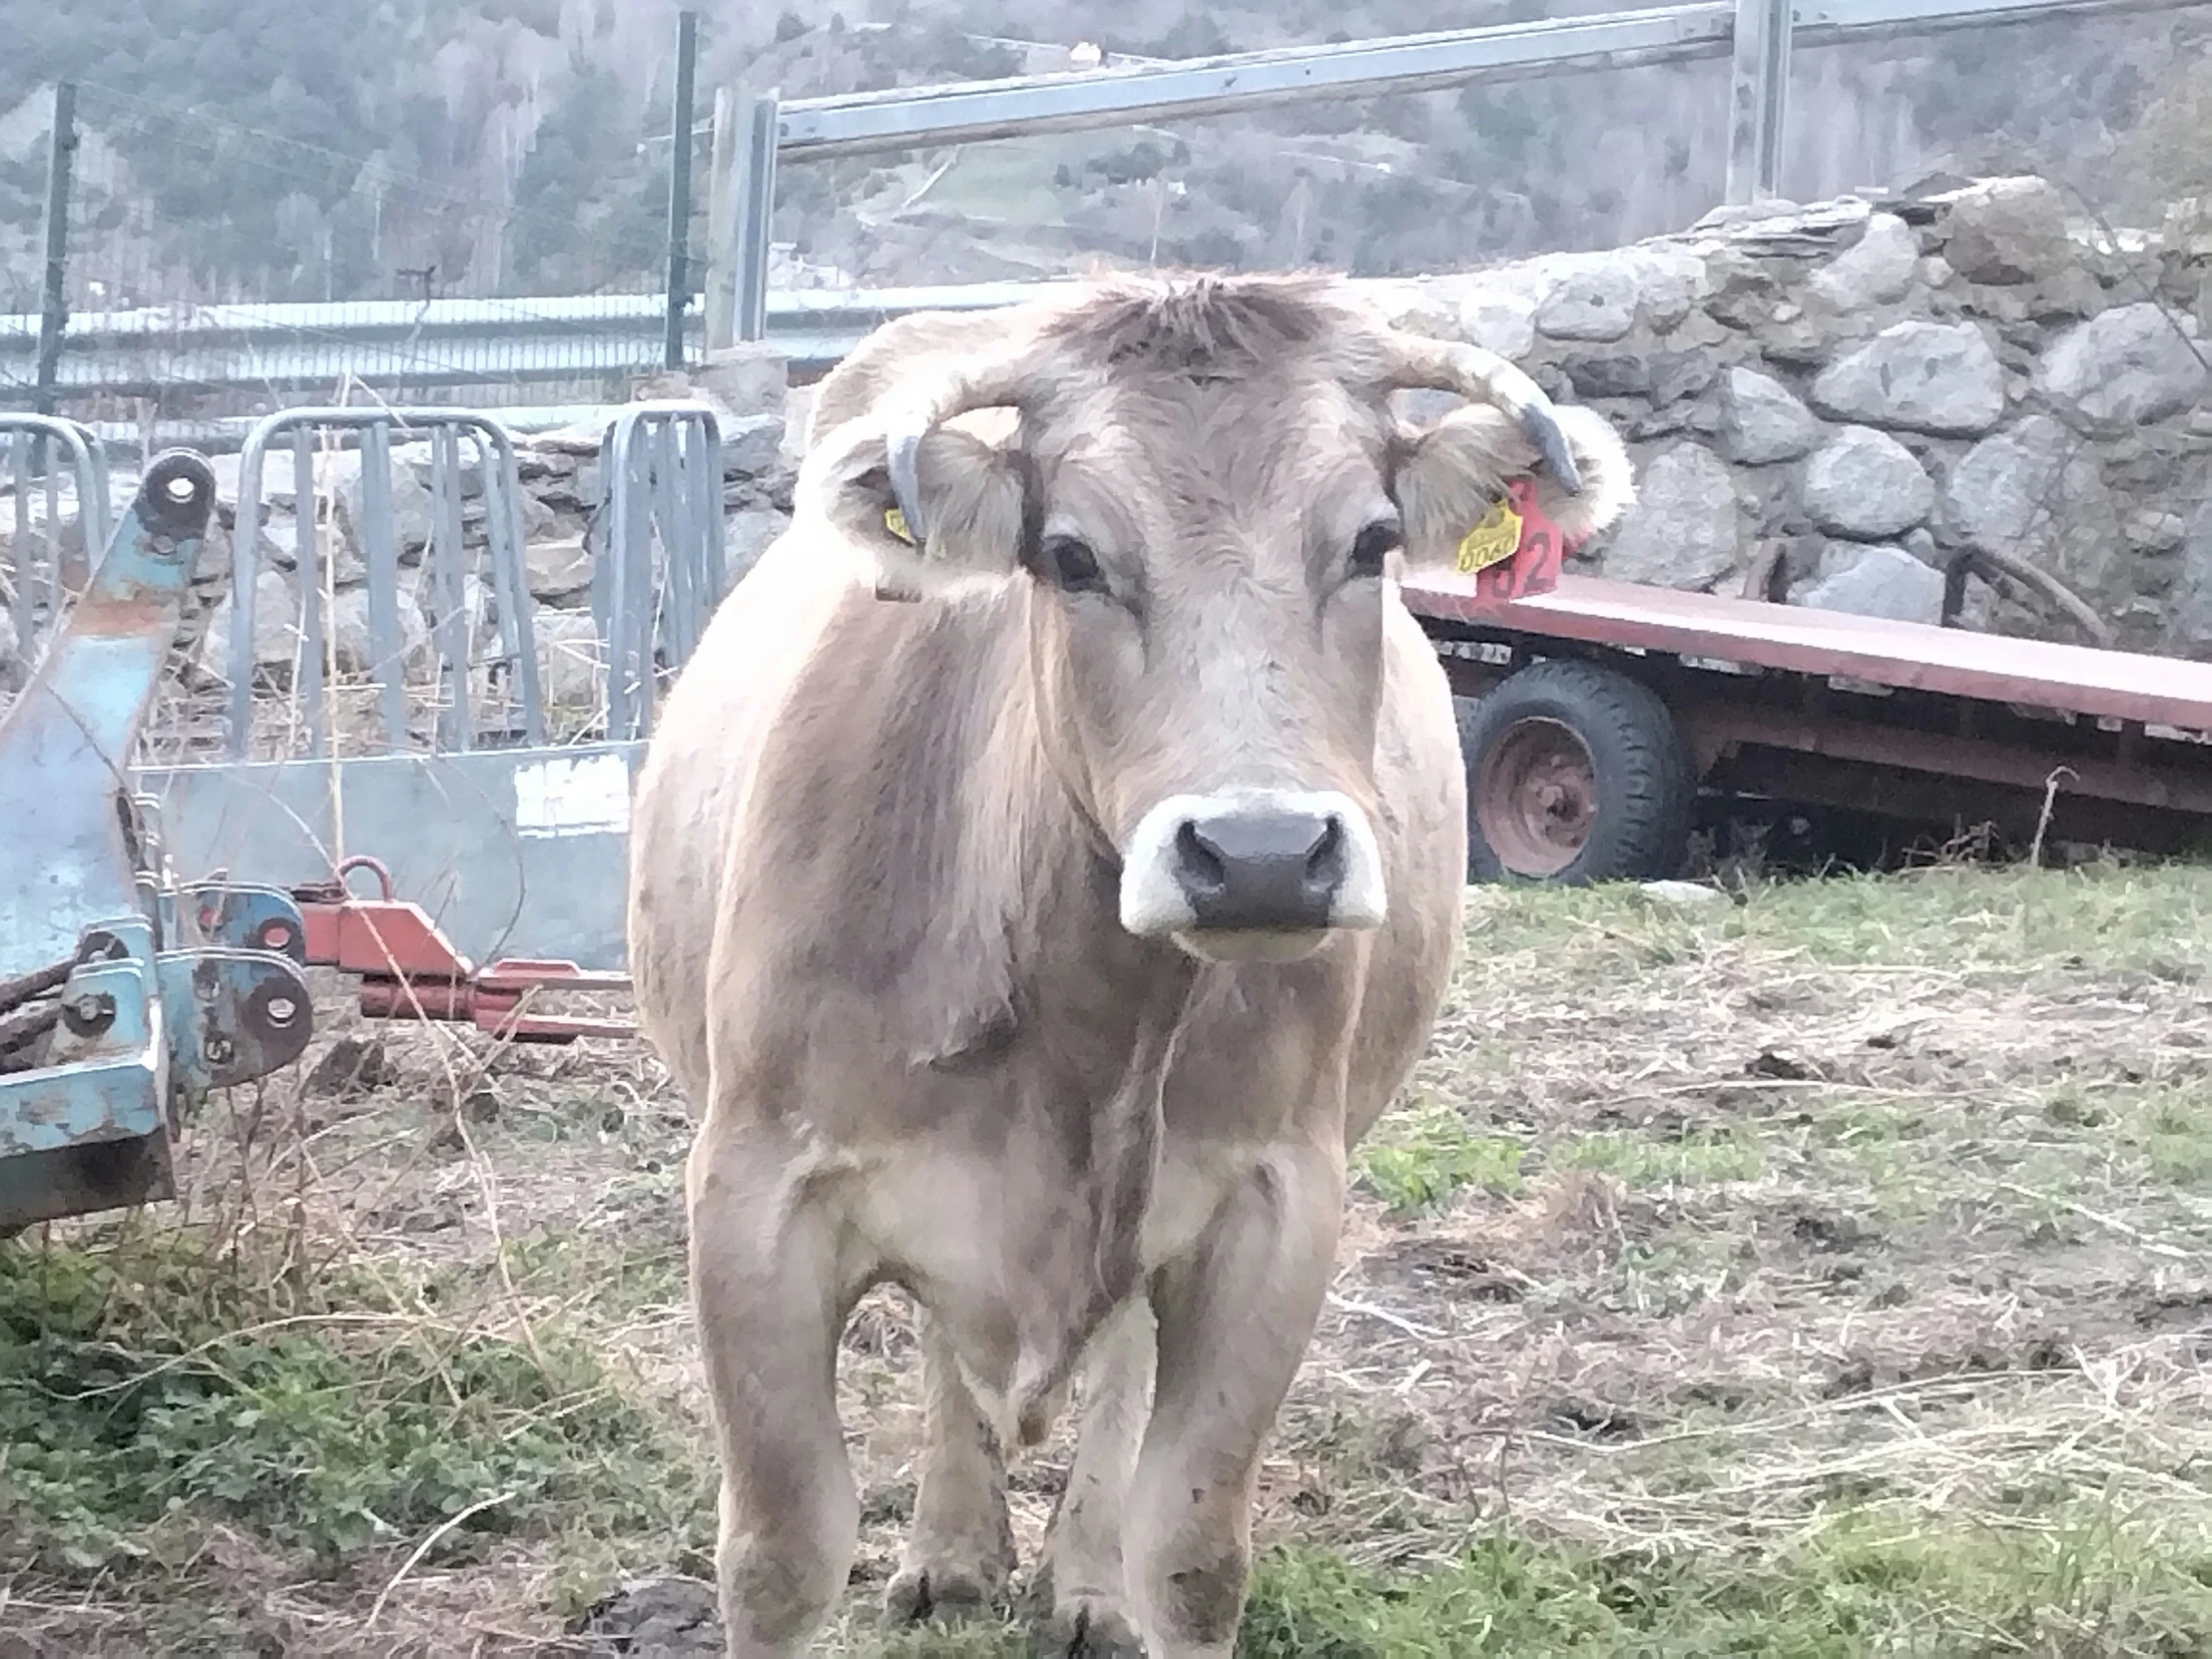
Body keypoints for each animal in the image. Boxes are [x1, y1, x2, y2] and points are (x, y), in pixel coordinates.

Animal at [632, 276, 1636, 1659]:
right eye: (1068, 555)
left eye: (1373, 541)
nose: (1261, 855)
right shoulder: (752, 1193)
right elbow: (781, 1553)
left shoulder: (1276, 1202)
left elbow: (1193, 1550)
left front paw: (1117, 1575)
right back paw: (952, 1551)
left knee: (1112, 1366)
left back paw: (1083, 1582)